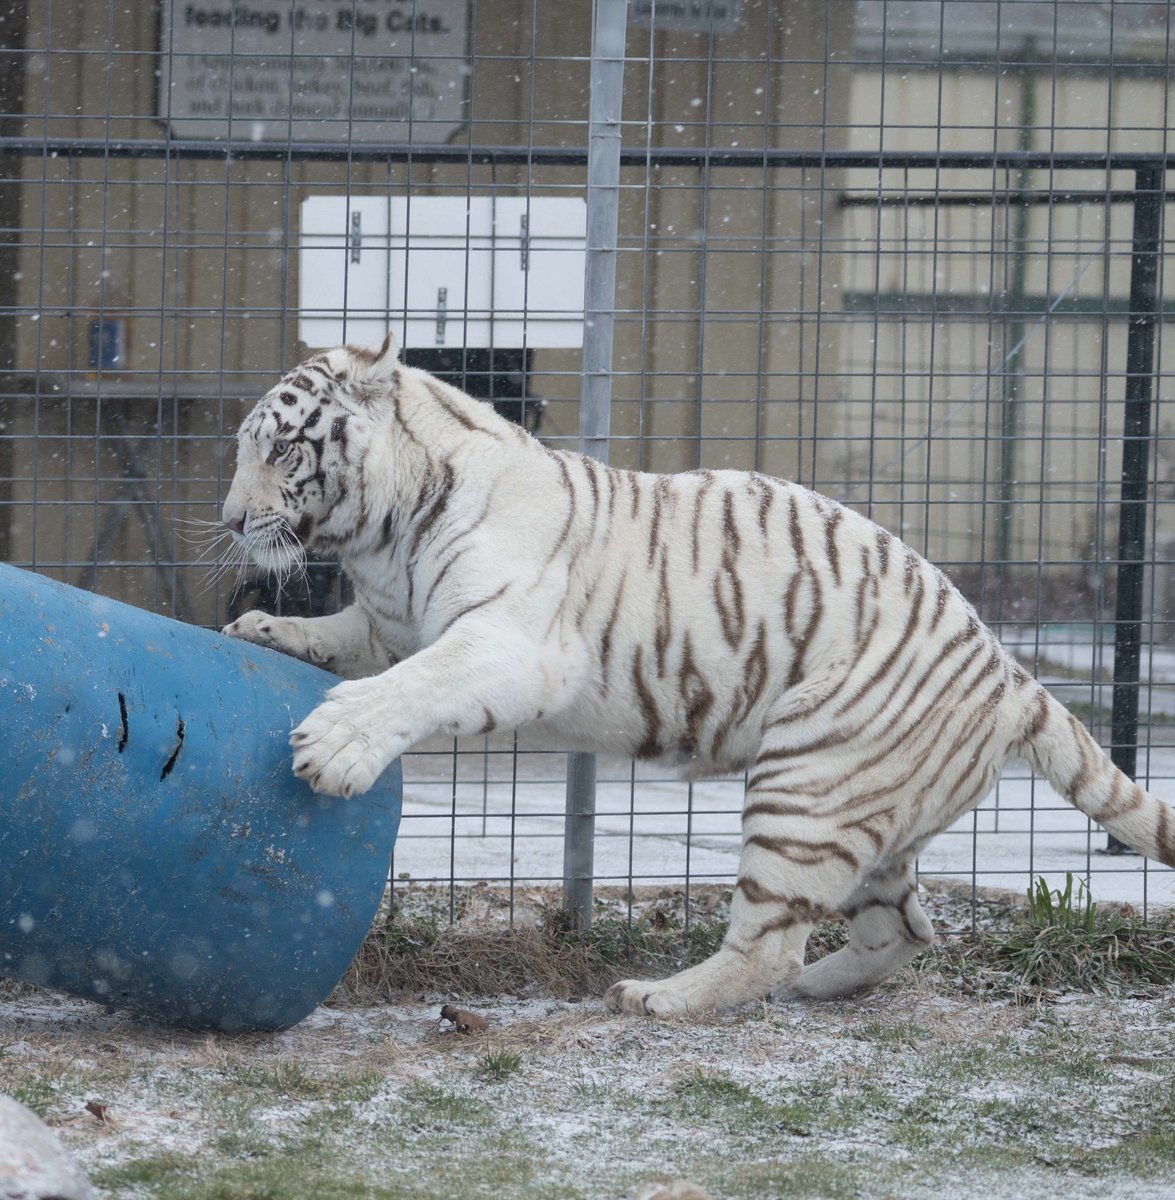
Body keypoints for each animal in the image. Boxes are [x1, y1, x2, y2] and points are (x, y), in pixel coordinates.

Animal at [220, 336, 1175, 1012]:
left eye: (281, 449)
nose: (229, 521)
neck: (383, 535)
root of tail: (1009, 674)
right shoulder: (389, 622)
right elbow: (344, 639)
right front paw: (261, 629)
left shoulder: (507, 641)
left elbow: (412, 685)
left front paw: (332, 744)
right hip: (872, 812)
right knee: (902, 929)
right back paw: (818, 987)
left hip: (807, 780)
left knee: (770, 943)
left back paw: (660, 997)